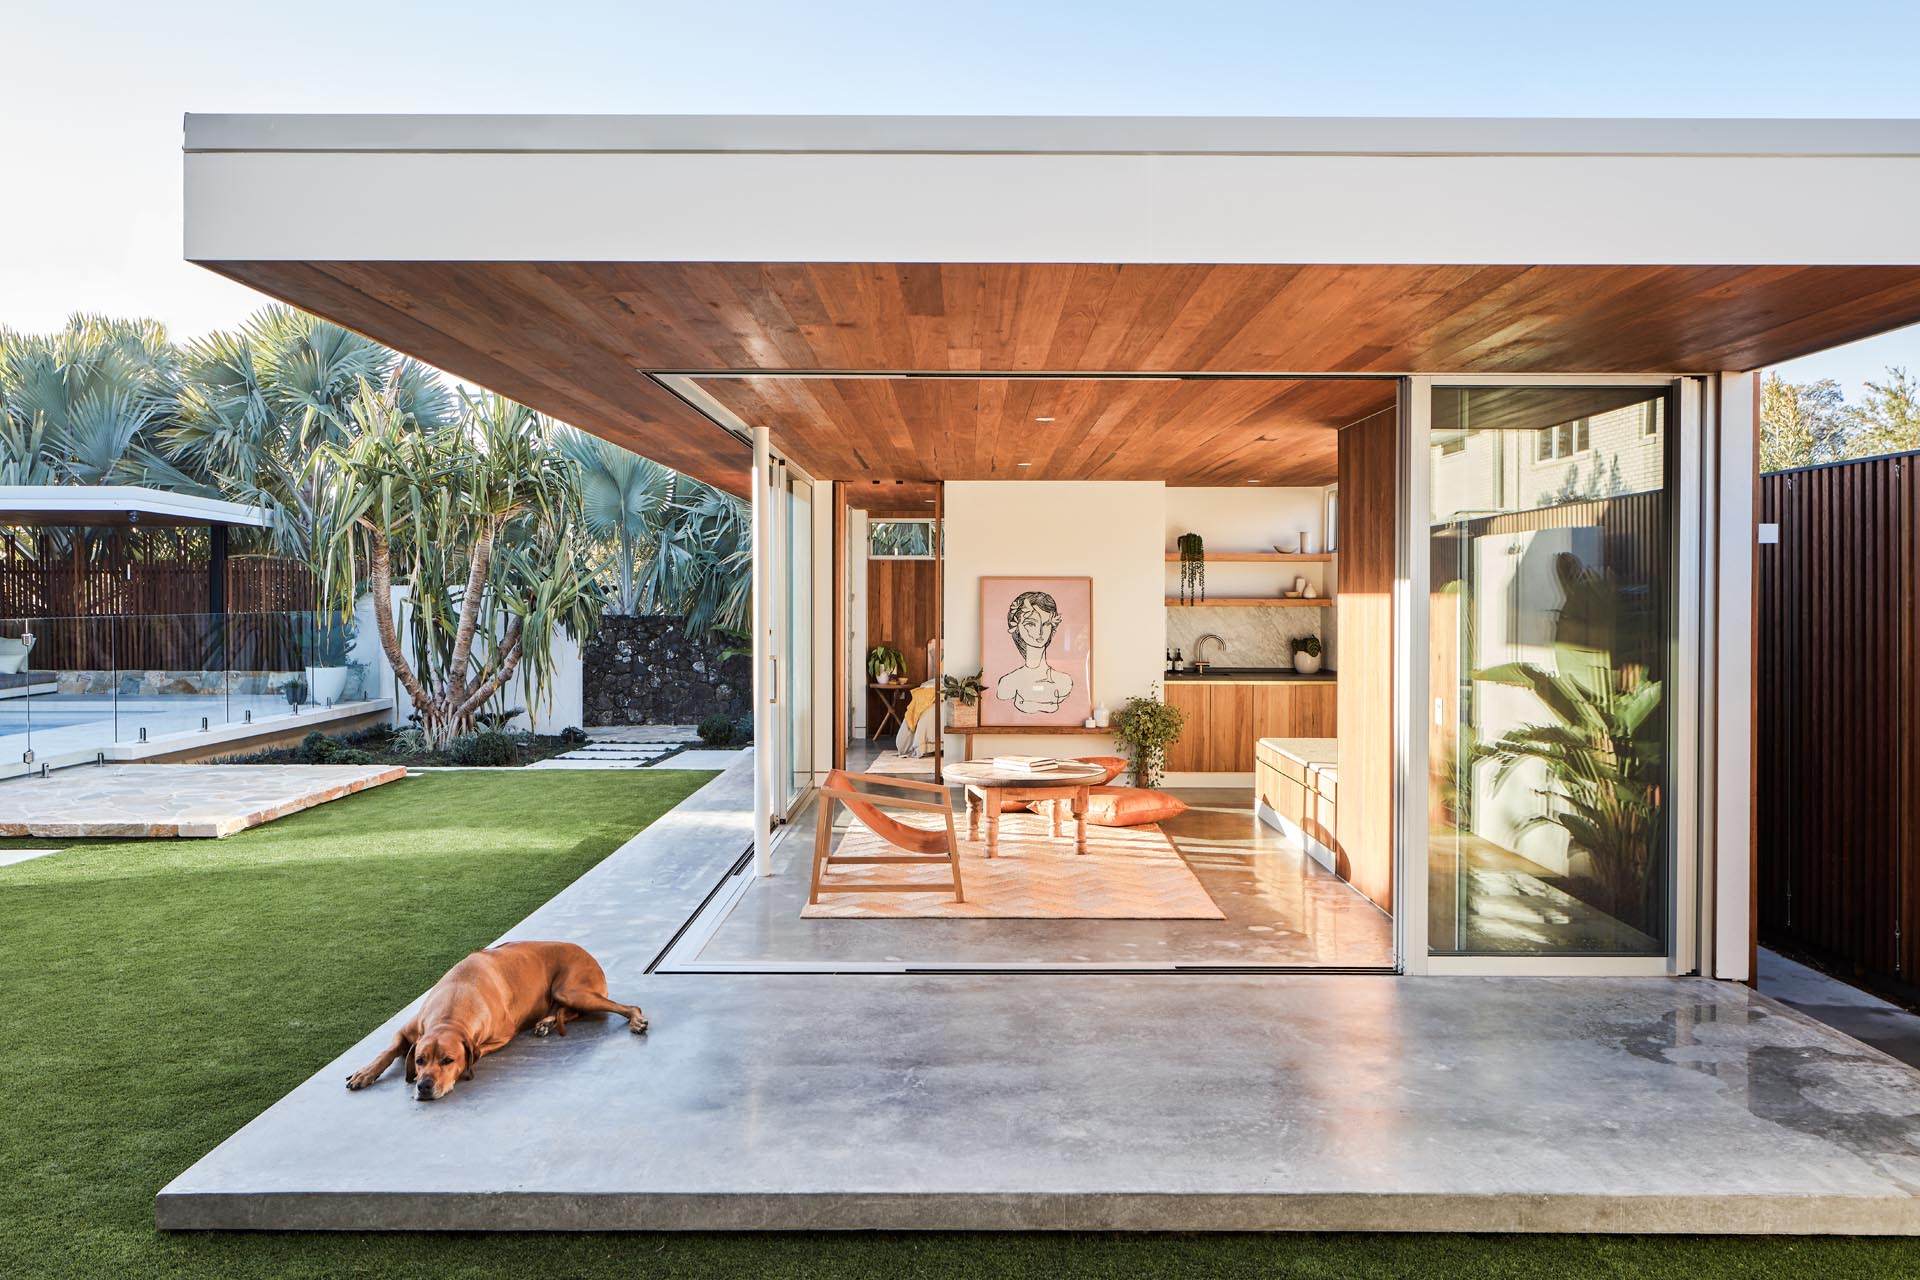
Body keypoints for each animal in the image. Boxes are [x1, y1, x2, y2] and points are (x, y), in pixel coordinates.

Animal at [343, 936, 645, 1105]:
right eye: (419, 1060)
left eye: (448, 1061)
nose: (424, 1086)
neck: (453, 1006)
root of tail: (591, 956)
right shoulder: (409, 1030)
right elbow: (388, 1050)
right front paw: (364, 1073)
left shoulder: (502, 1035)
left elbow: (478, 1051)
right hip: (568, 994)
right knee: (569, 1012)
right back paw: (546, 1022)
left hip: (570, 990)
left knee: (621, 1007)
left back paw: (636, 1020)